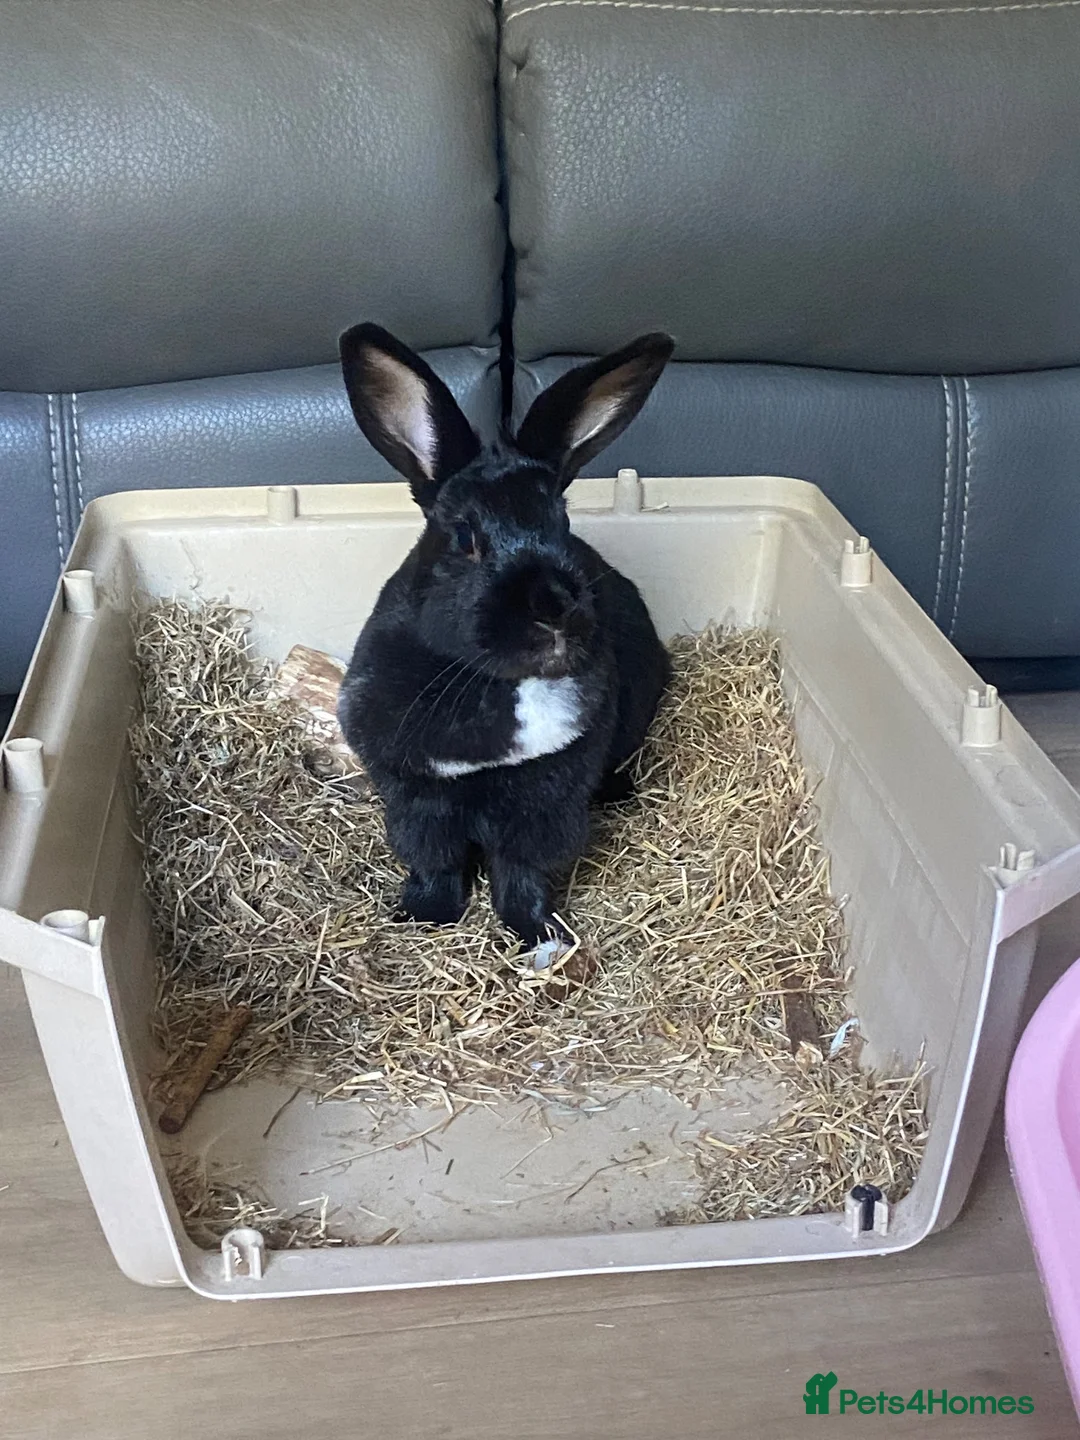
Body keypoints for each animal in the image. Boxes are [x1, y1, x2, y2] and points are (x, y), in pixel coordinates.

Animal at [336, 322, 674, 950]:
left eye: (562, 523)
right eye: (464, 537)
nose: (555, 609)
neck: (502, 687)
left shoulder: (545, 803)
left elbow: (521, 870)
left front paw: (537, 932)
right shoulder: (417, 799)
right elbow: (436, 863)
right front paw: (423, 916)